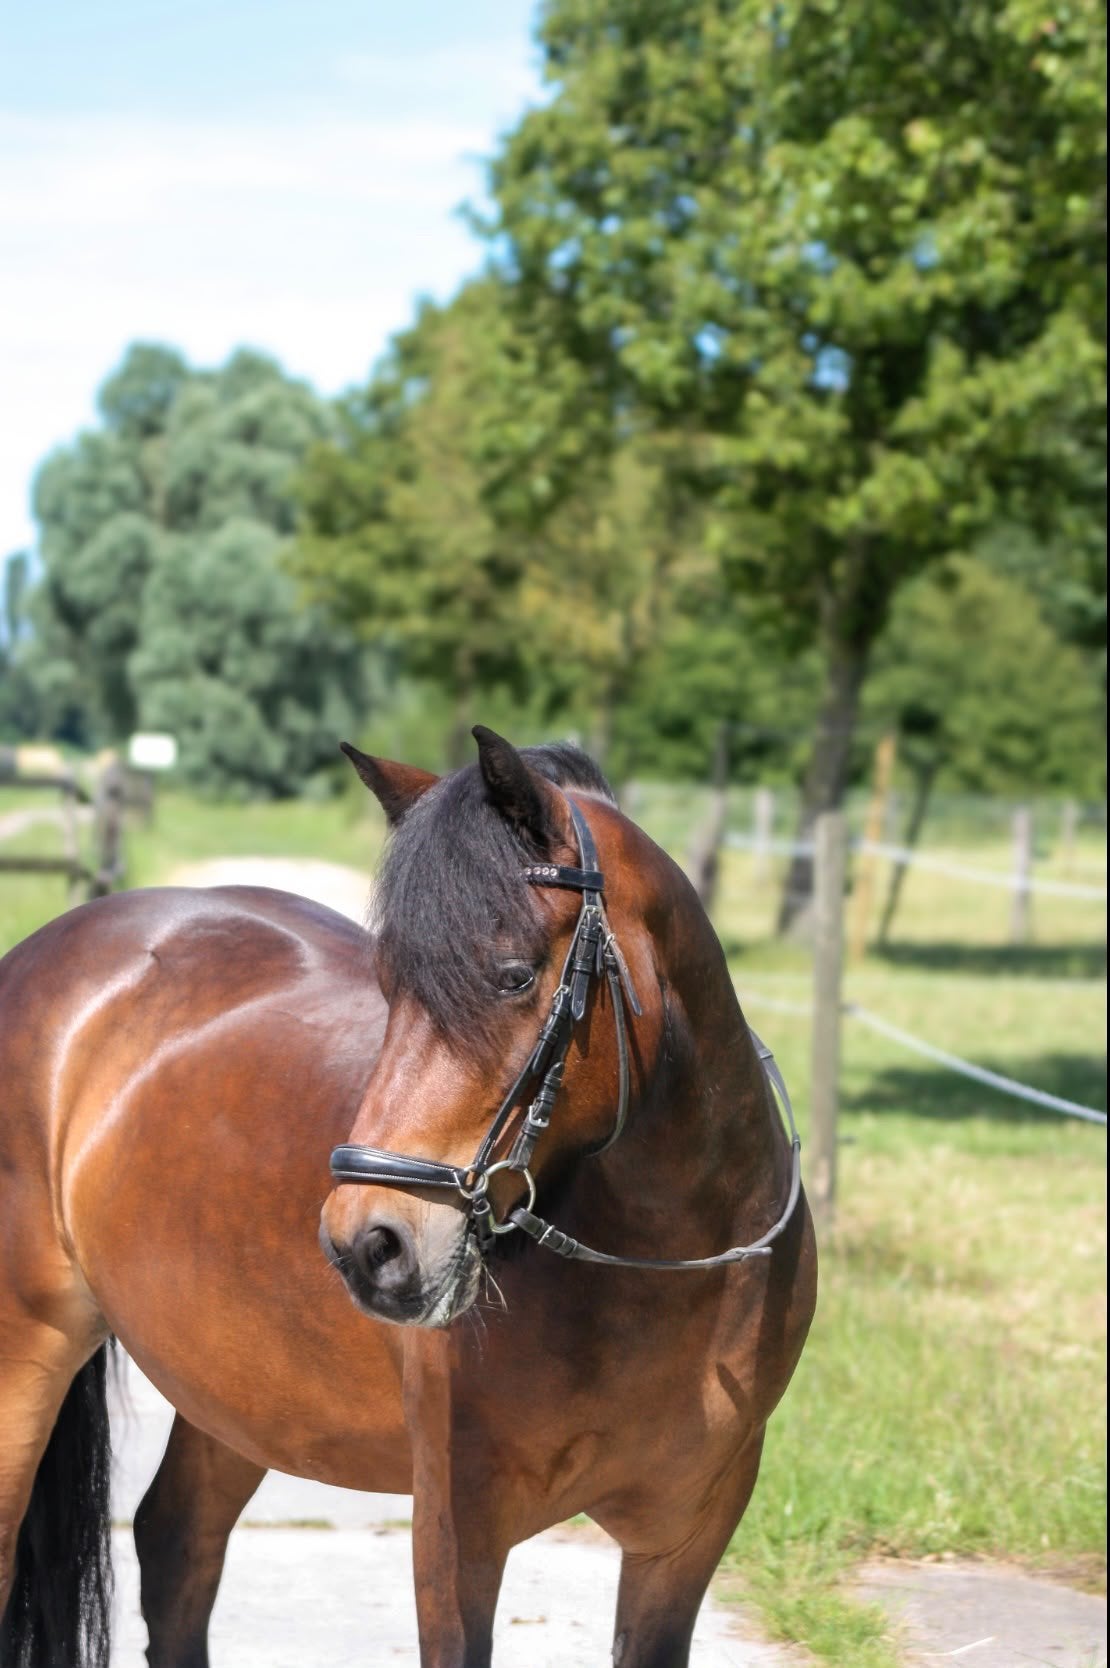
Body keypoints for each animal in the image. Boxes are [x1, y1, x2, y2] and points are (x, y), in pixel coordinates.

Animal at [0, 727, 816, 1668]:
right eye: (390, 984)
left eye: (513, 977)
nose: (367, 1247)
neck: (666, 1267)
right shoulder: (457, 1531)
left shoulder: (685, 1537)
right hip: (29, 1353)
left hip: (238, 1398)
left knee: (175, 1549)